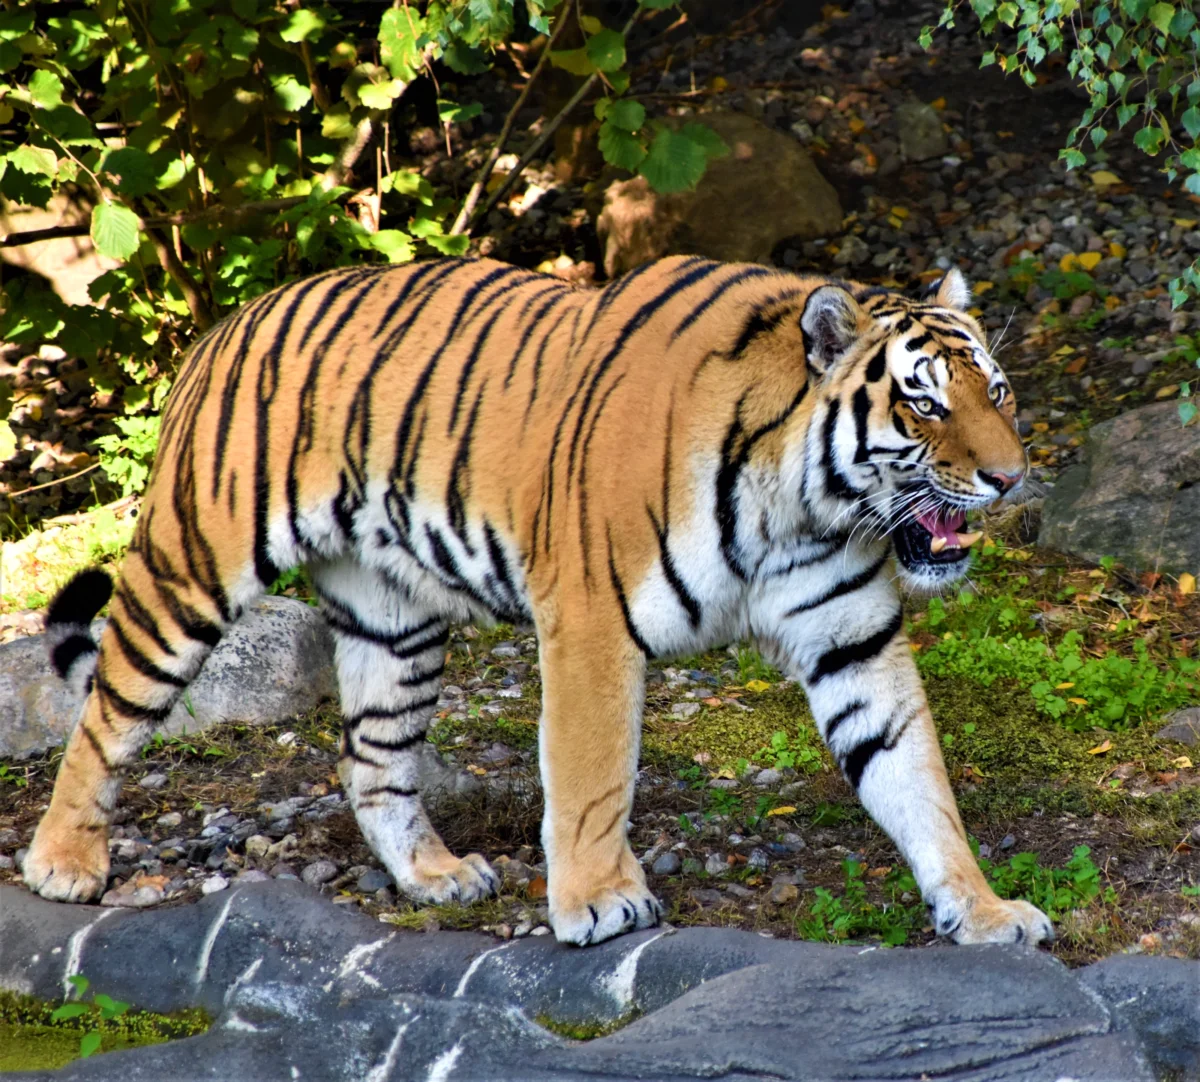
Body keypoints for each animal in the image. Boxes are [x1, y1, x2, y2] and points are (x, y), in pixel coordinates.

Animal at [23, 254, 1053, 948]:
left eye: (999, 393)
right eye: (925, 405)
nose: (1010, 479)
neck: (805, 505)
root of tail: (227, 323)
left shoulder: (853, 641)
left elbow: (917, 780)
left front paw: (984, 909)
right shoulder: (593, 622)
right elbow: (594, 778)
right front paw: (600, 901)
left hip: (394, 626)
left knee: (371, 760)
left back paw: (435, 876)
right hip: (193, 566)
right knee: (106, 712)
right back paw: (63, 864)